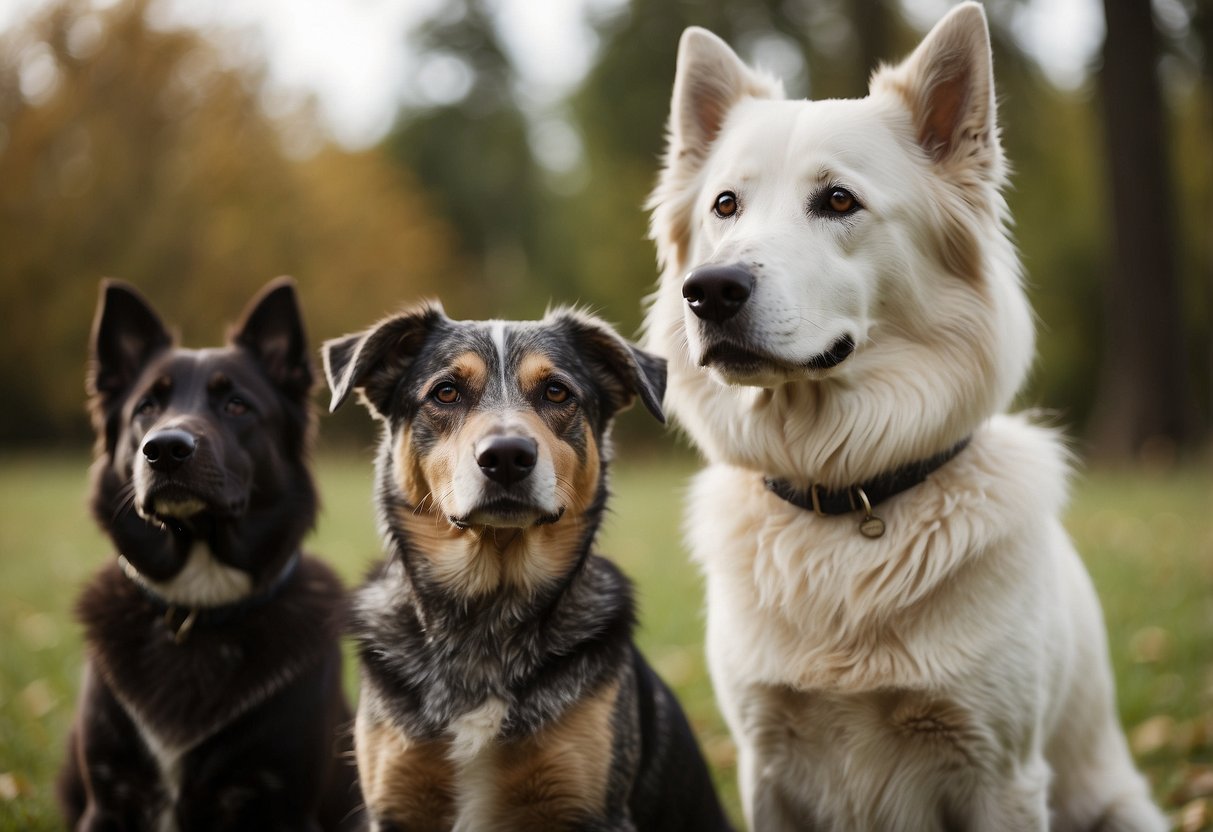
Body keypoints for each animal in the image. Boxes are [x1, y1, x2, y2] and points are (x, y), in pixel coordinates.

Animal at [58, 281, 359, 832]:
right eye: (146, 407)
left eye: (237, 405)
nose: (164, 449)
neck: (198, 607)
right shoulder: (108, 802)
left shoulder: (284, 805)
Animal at [322, 306, 732, 832]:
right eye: (446, 392)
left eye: (556, 391)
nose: (506, 456)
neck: (489, 619)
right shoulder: (394, 805)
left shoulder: (590, 805)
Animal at [645, 3, 1164, 829]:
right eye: (725, 205)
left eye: (837, 200)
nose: (708, 291)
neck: (845, 491)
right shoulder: (766, 764)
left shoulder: (999, 773)